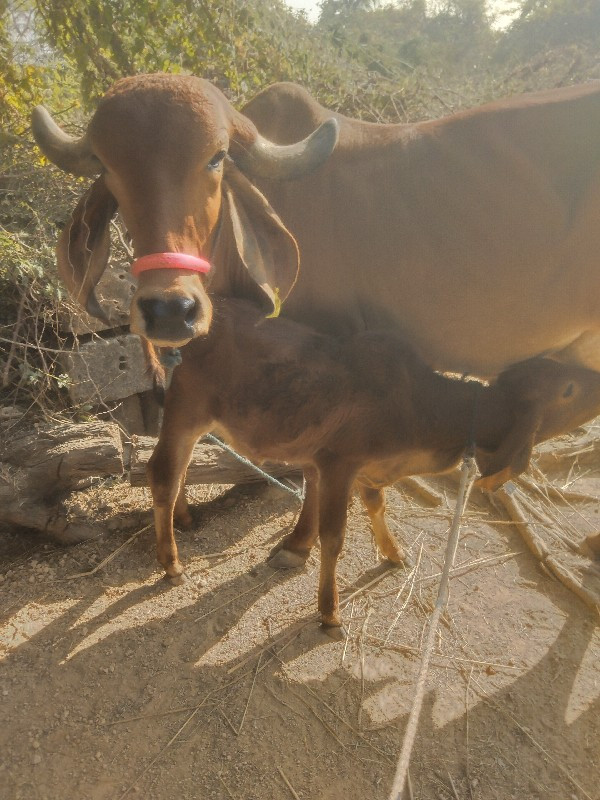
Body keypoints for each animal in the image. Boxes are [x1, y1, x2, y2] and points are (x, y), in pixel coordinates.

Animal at [148, 296, 600, 628]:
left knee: (180, 472)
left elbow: (377, 507)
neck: (422, 408)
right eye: (568, 389)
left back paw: (185, 520)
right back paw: (171, 563)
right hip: (184, 412)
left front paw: (393, 553)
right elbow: (333, 538)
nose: (595, 379)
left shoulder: (367, 471)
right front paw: (329, 612)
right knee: (163, 476)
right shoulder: (337, 464)